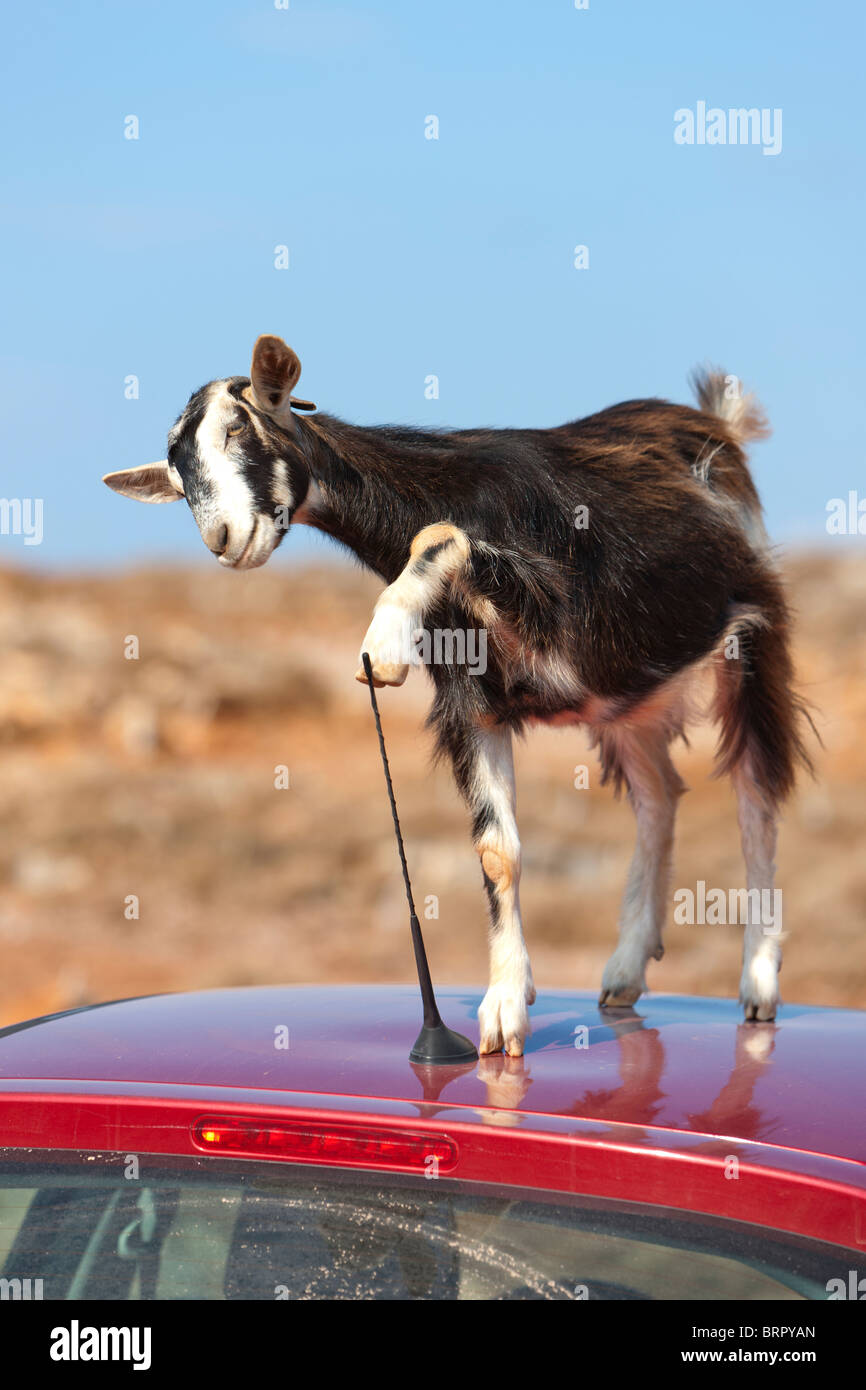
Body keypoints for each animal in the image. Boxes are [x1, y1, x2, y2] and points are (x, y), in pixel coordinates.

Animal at [103, 333, 811, 1050]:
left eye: (238, 426)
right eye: (177, 474)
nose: (222, 540)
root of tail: (716, 425)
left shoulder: (549, 600)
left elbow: (442, 534)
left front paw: (385, 639)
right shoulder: (474, 708)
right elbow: (497, 853)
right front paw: (506, 1001)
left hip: (749, 641)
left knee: (756, 796)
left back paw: (758, 984)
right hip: (625, 694)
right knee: (659, 795)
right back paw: (625, 968)